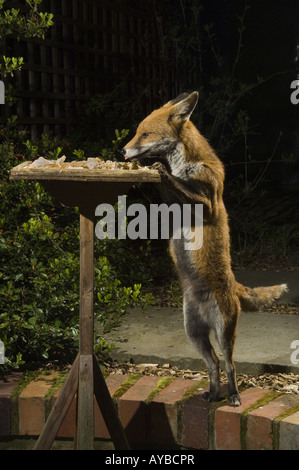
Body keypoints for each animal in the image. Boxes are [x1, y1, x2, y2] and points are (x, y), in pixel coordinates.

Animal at [123, 92, 290, 404]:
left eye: (145, 134)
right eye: (138, 132)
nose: (123, 151)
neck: (186, 164)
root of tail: (234, 287)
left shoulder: (208, 201)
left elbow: (183, 186)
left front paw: (161, 170)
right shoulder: (172, 207)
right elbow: (171, 193)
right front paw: (155, 173)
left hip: (224, 332)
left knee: (230, 365)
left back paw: (233, 396)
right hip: (194, 333)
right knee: (213, 366)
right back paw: (213, 395)